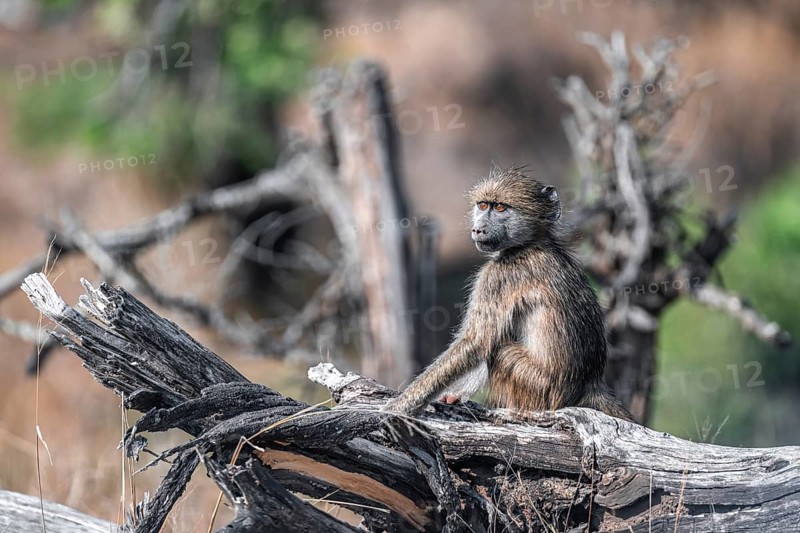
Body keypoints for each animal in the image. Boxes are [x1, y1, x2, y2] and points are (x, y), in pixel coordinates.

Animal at [384, 167, 634, 422]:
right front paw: (454, 394)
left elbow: (476, 341)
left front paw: (397, 407)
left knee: (501, 352)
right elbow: (485, 340)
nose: (478, 229)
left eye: (500, 208)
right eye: (483, 205)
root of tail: (589, 385)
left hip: (538, 389)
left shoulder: (498, 277)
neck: (529, 244)